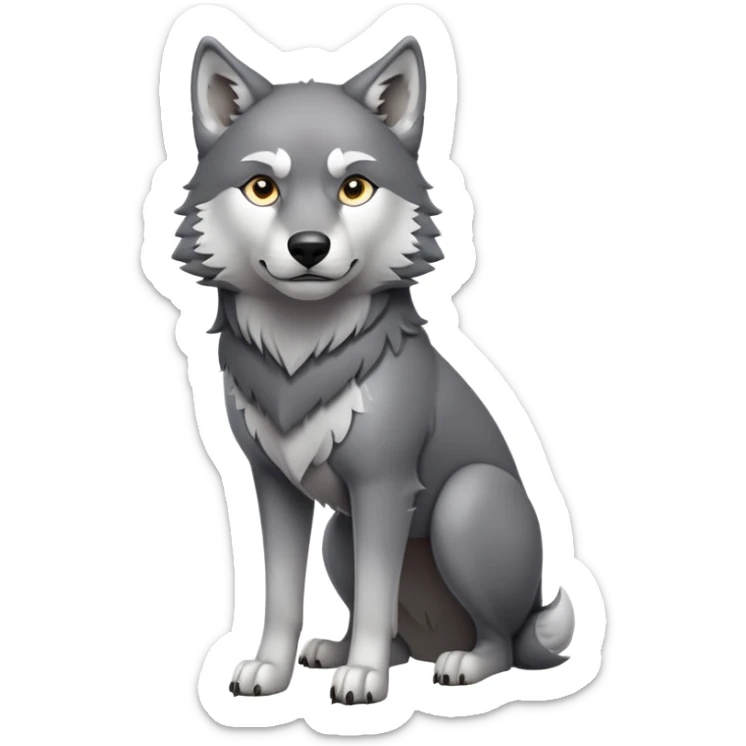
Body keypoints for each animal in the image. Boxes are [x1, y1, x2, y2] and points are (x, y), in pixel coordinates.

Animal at [173, 35, 575, 705]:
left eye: (355, 188)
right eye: (262, 188)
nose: (309, 248)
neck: (302, 353)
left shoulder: (384, 488)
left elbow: (373, 595)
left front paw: (363, 679)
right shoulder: (274, 485)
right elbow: (282, 596)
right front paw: (270, 670)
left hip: (465, 502)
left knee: (496, 643)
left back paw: (461, 664)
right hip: (340, 535)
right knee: (395, 633)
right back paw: (344, 653)